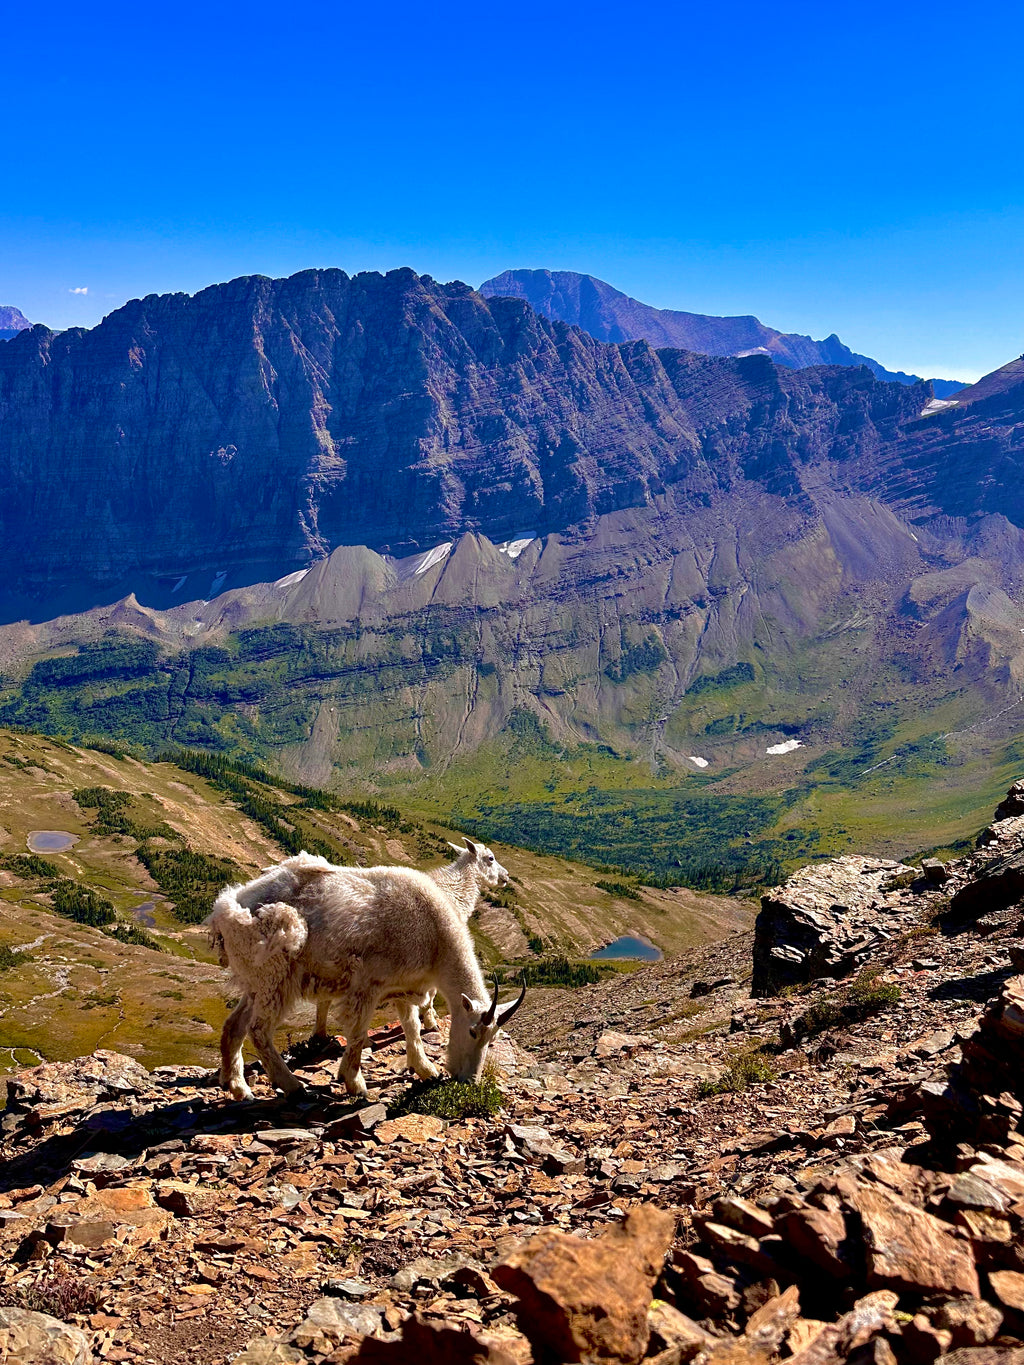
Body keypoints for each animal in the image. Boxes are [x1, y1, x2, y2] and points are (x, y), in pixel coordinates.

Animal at [207, 855, 524, 1100]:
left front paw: (425, 1070)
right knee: (258, 1030)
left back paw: (238, 1087)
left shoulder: (403, 985)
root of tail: (226, 906)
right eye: (472, 1032)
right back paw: (292, 1086)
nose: (468, 1081)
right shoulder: (367, 985)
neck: (436, 938)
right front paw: (354, 1083)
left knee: (234, 1025)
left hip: (256, 982)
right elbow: (358, 1034)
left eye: (492, 1039)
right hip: (275, 976)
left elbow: (411, 1027)